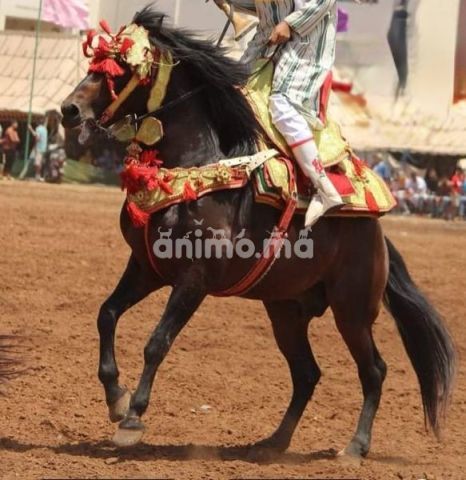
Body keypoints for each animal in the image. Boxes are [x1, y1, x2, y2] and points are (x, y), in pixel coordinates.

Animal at [61, 6, 456, 458]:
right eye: (95, 62)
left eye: (120, 68)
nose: (69, 110)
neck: (193, 168)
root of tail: (377, 234)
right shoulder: (147, 267)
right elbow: (106, 314)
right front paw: (115, 397)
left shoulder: (193, 280)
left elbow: (157, 341)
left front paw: (132, 417)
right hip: (285, 309)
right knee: (307, 373)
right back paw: (273, 442)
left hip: (352, 310)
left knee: (374, 370)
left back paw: (355, 447)